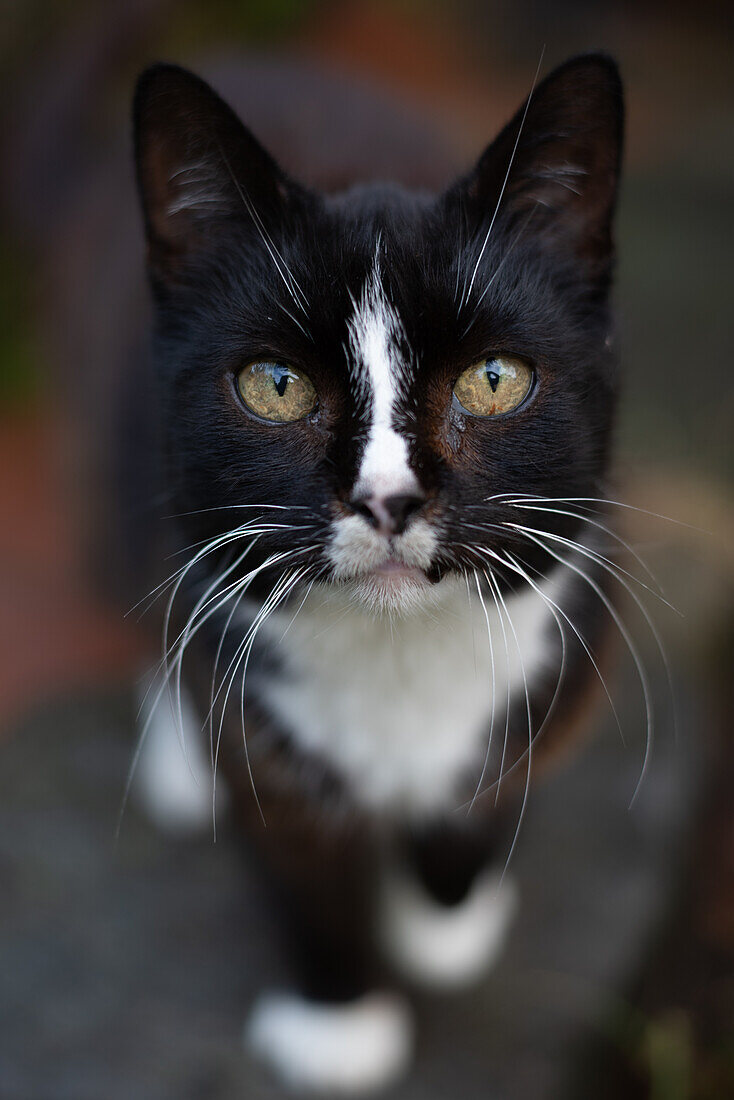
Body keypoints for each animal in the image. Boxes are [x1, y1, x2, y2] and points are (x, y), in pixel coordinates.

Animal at [129, 49, 625, 1091]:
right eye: (276, 386)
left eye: (494, 379)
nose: (388, 498)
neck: (397, 654)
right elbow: (293, 842)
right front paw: (338, 1025)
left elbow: (500, 770)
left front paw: (443, 920)